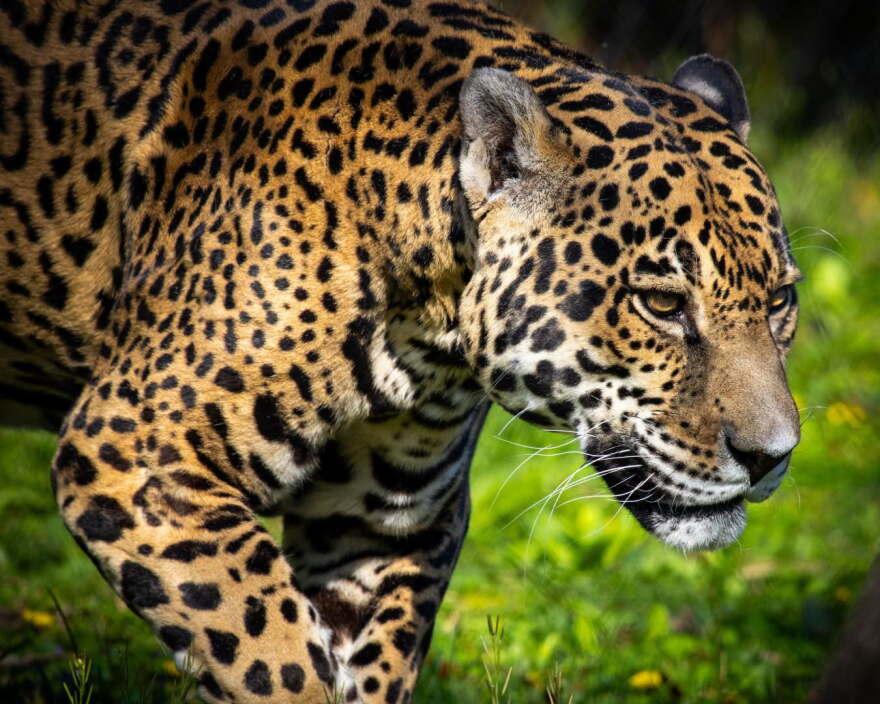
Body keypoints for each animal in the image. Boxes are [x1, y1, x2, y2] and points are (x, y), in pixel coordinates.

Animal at [0, 0, 802, 701]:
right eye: (661, 304)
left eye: (779, 301)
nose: (772, 457)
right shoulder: (133, 456)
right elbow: (271, 656)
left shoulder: (376, 522)